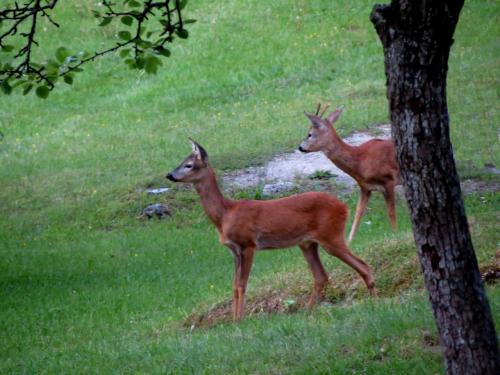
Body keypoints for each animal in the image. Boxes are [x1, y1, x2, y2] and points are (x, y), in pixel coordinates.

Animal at [167, 140, 376, 322]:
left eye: (189, 165)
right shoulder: (234, 250)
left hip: (331, 235)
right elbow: (234, 286)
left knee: (363, 265)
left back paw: (373, 299)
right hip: (307, 243)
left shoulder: (248, 244)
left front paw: (240, 320)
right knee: (321, 276)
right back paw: (308, 312)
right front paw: (233, 320)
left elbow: (242, 285)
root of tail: (344, 207)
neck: (226, 214)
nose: (169, 175)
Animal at [298, 103, 400, 244]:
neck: (360, 161)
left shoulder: (388, 180)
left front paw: (395, 232)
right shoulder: (365, 187)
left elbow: (391, 212)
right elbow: (358, 212)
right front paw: (349, 240)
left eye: (310, 134)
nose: (300, 147)